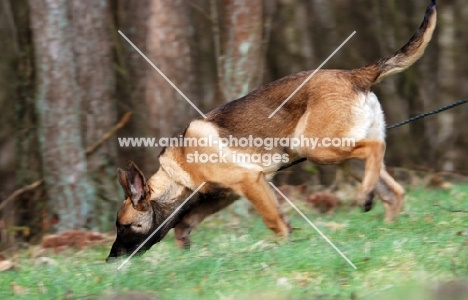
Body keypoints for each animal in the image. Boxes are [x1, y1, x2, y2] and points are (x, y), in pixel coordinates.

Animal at [105, 0, 436, 260]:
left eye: (124, 226)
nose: (110, 260)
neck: (177, 171)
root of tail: (355, 75)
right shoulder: (227, 195)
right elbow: (186, 223)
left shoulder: (250, 182)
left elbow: (273, 220)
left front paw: (283, 248)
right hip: (345, 154)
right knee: (393, 190)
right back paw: (385, 226)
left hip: (317, 148)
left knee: (375, 149)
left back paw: (365, 196)